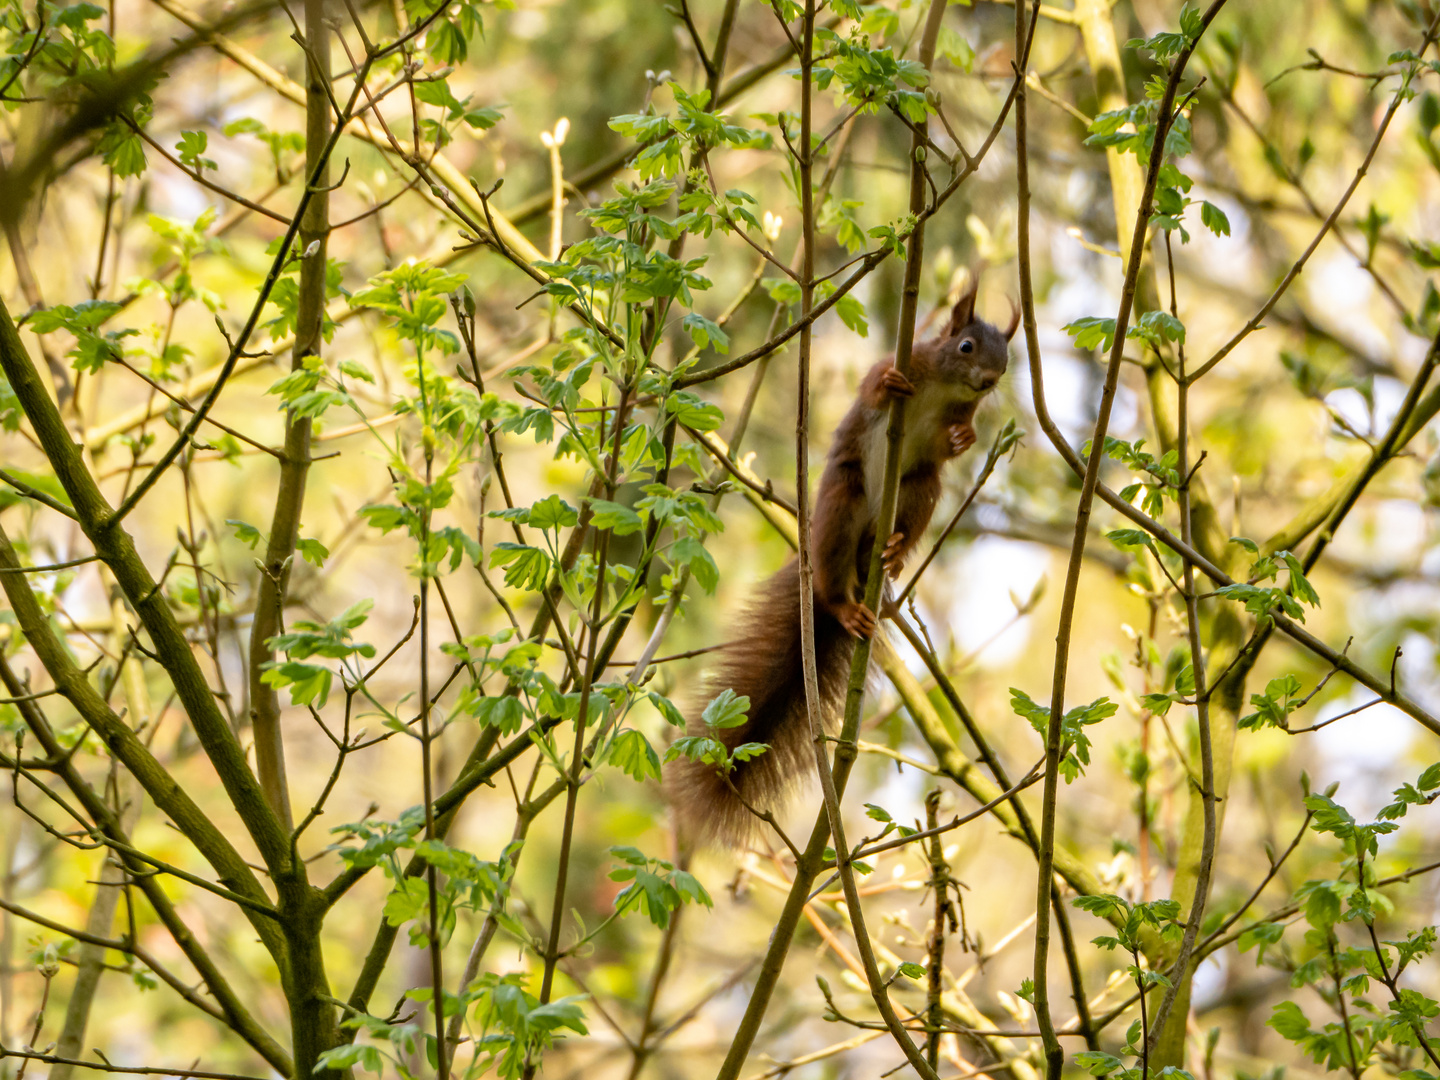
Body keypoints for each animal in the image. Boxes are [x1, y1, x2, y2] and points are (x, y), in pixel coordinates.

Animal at [668, 275, 1019, 852]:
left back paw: (894, 550)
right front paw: (889, 384)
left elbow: (951, 446)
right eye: (966, 346)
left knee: (917, 500)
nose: (988, 381)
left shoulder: (955, 420)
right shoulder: (907, 360)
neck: (946, 389)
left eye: (1007, 361)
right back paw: (841, 605)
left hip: (917, 490)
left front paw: (965, 439)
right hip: (841, 502)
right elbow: (873, 386)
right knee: (832, 582)